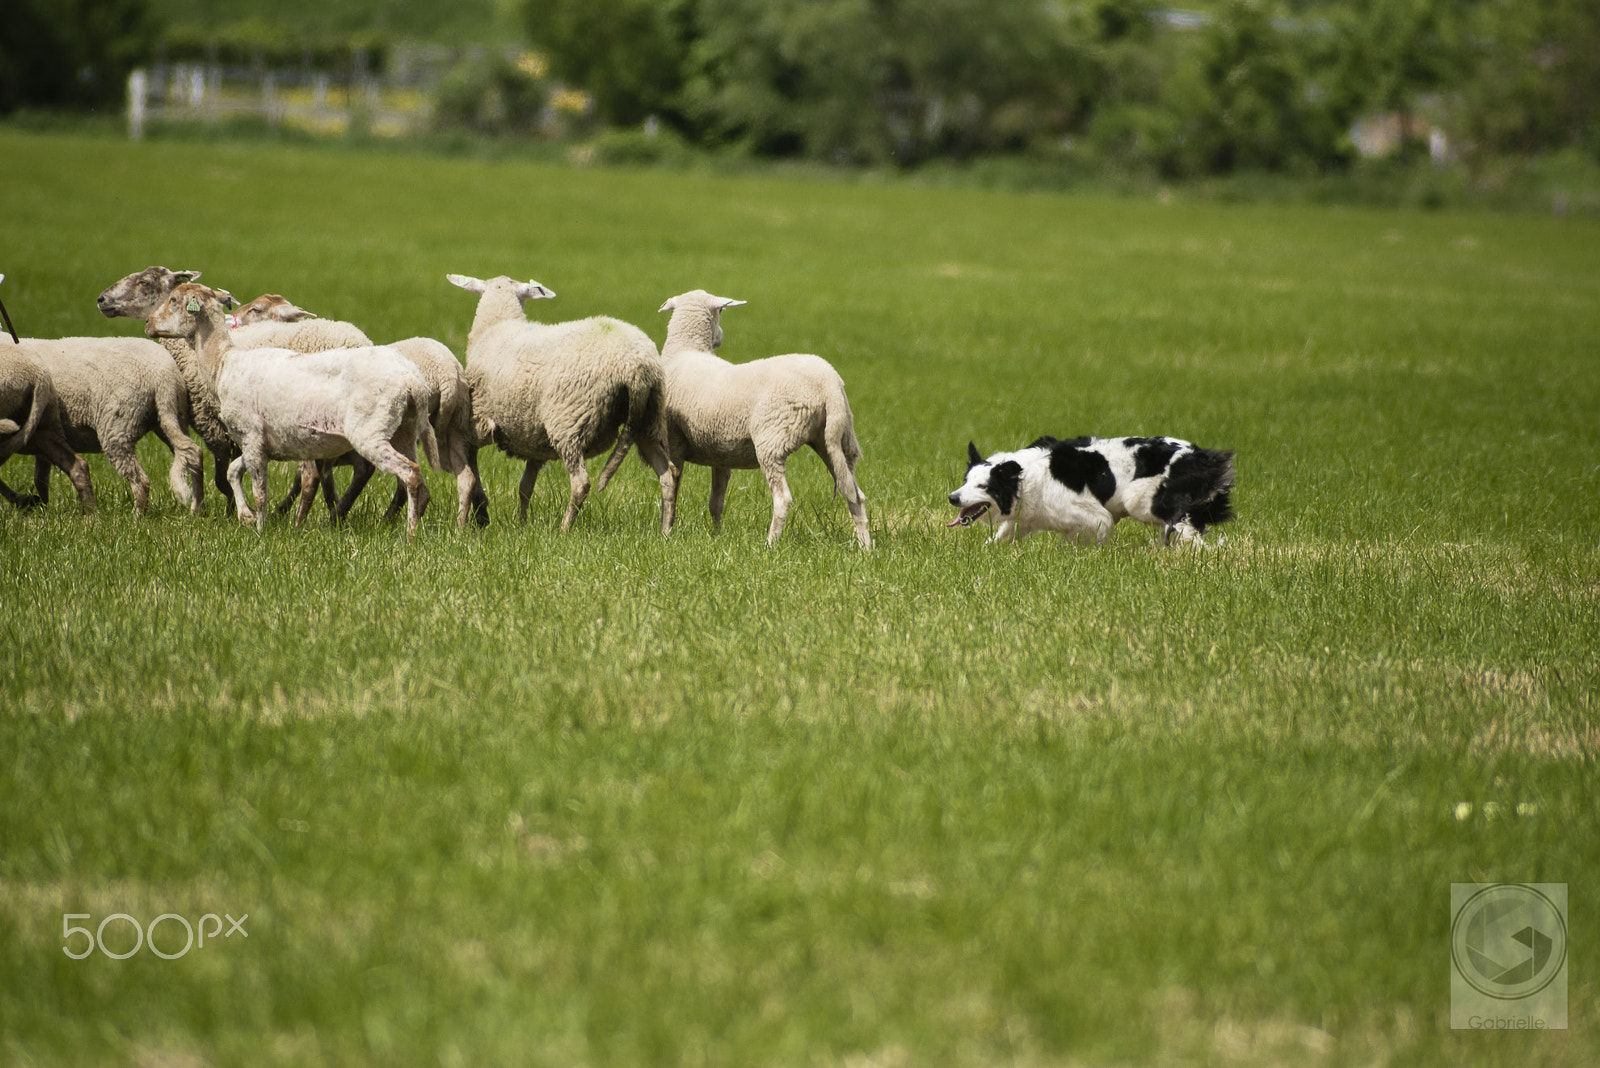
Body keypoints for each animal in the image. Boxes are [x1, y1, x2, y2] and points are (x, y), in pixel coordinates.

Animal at [145, 282, 438, 534]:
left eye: (173, 300)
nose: (148, 323)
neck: (224, 362)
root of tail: (413, 381)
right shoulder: (260, 443)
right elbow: (233, 471)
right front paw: (246, 516)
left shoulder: (251, 434)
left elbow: (260, 492)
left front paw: (261, 531)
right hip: (403, 432)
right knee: (420, 484)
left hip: (369, 433)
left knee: (409, 474)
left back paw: (409, 535)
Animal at [451, 271, 668, 530]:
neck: (497, 325)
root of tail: (636, 366)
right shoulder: (532, 437)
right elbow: (525, 487)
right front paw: (522, 524)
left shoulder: (477, 423)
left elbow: (473, 475)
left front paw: (480, 517)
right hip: (649, 416)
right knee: (668, 475)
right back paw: (667, 530)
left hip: (569, 421)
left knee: (581, 483)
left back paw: (564, 529)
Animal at [636, 287, 870, 546]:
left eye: (721, 311)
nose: (721, 336)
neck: (686, 351)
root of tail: (828, 384)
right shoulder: (721, 453)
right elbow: (716, 502)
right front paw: (717, 535)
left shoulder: (674, 442)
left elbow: (671, 488)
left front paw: (666, 533)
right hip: (834, 440)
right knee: (855, 495)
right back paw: (865, 547)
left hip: (773, 440)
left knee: (783, 498)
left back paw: (770, 544)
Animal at [947, 434, 1235, 546]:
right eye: (965, 481)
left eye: (983, 486)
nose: (952, 498)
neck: (1023, 481)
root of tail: (1202, 456)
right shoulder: (1023, 521)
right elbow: (997, 540)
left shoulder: (1096, 517)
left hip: (1138, 499)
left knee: (1188, 533)